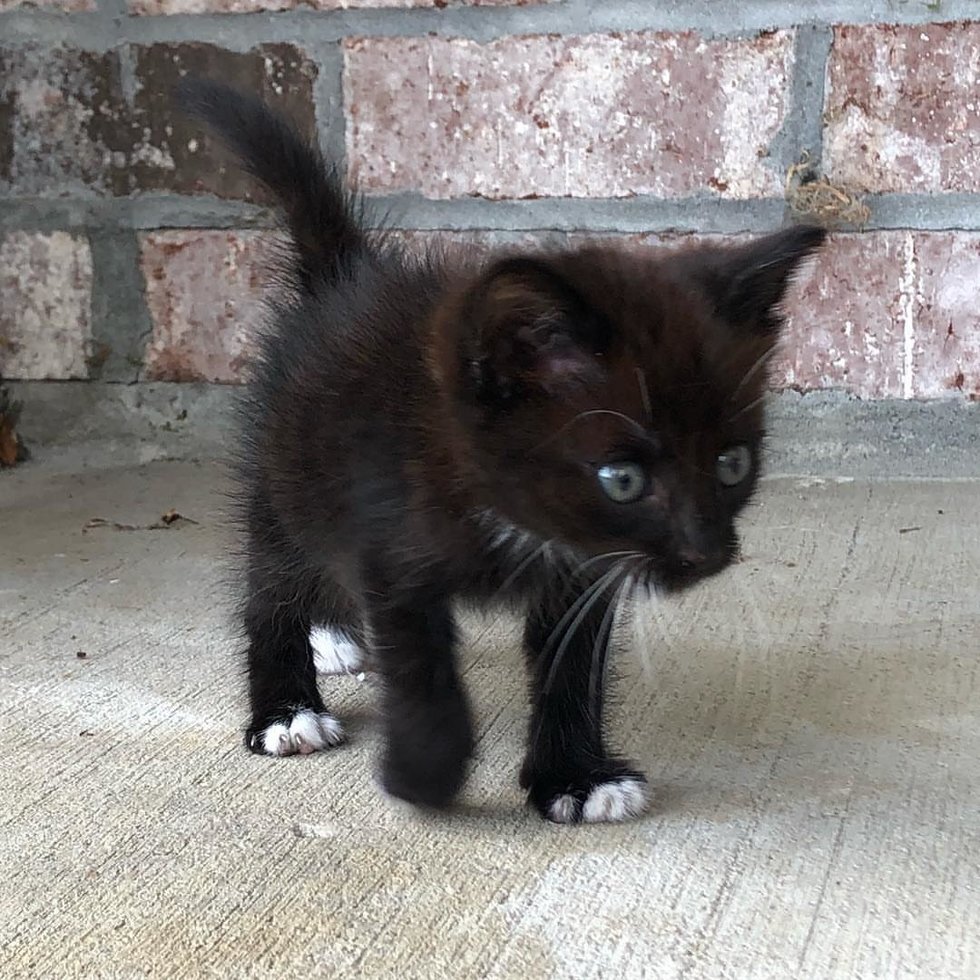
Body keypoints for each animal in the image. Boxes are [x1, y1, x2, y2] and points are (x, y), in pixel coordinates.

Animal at [180, 80, 824, 824]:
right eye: (622, 479)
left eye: (732, 464)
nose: (706, 554)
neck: (508, 512)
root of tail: (343, 276)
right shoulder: (391, 545)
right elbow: (419, 669)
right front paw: (424, 778)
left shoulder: (583, 568)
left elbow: (572, 667)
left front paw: (577, 778)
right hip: (283, 469)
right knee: (274, 581)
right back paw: (288, 707)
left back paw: (333, 637)